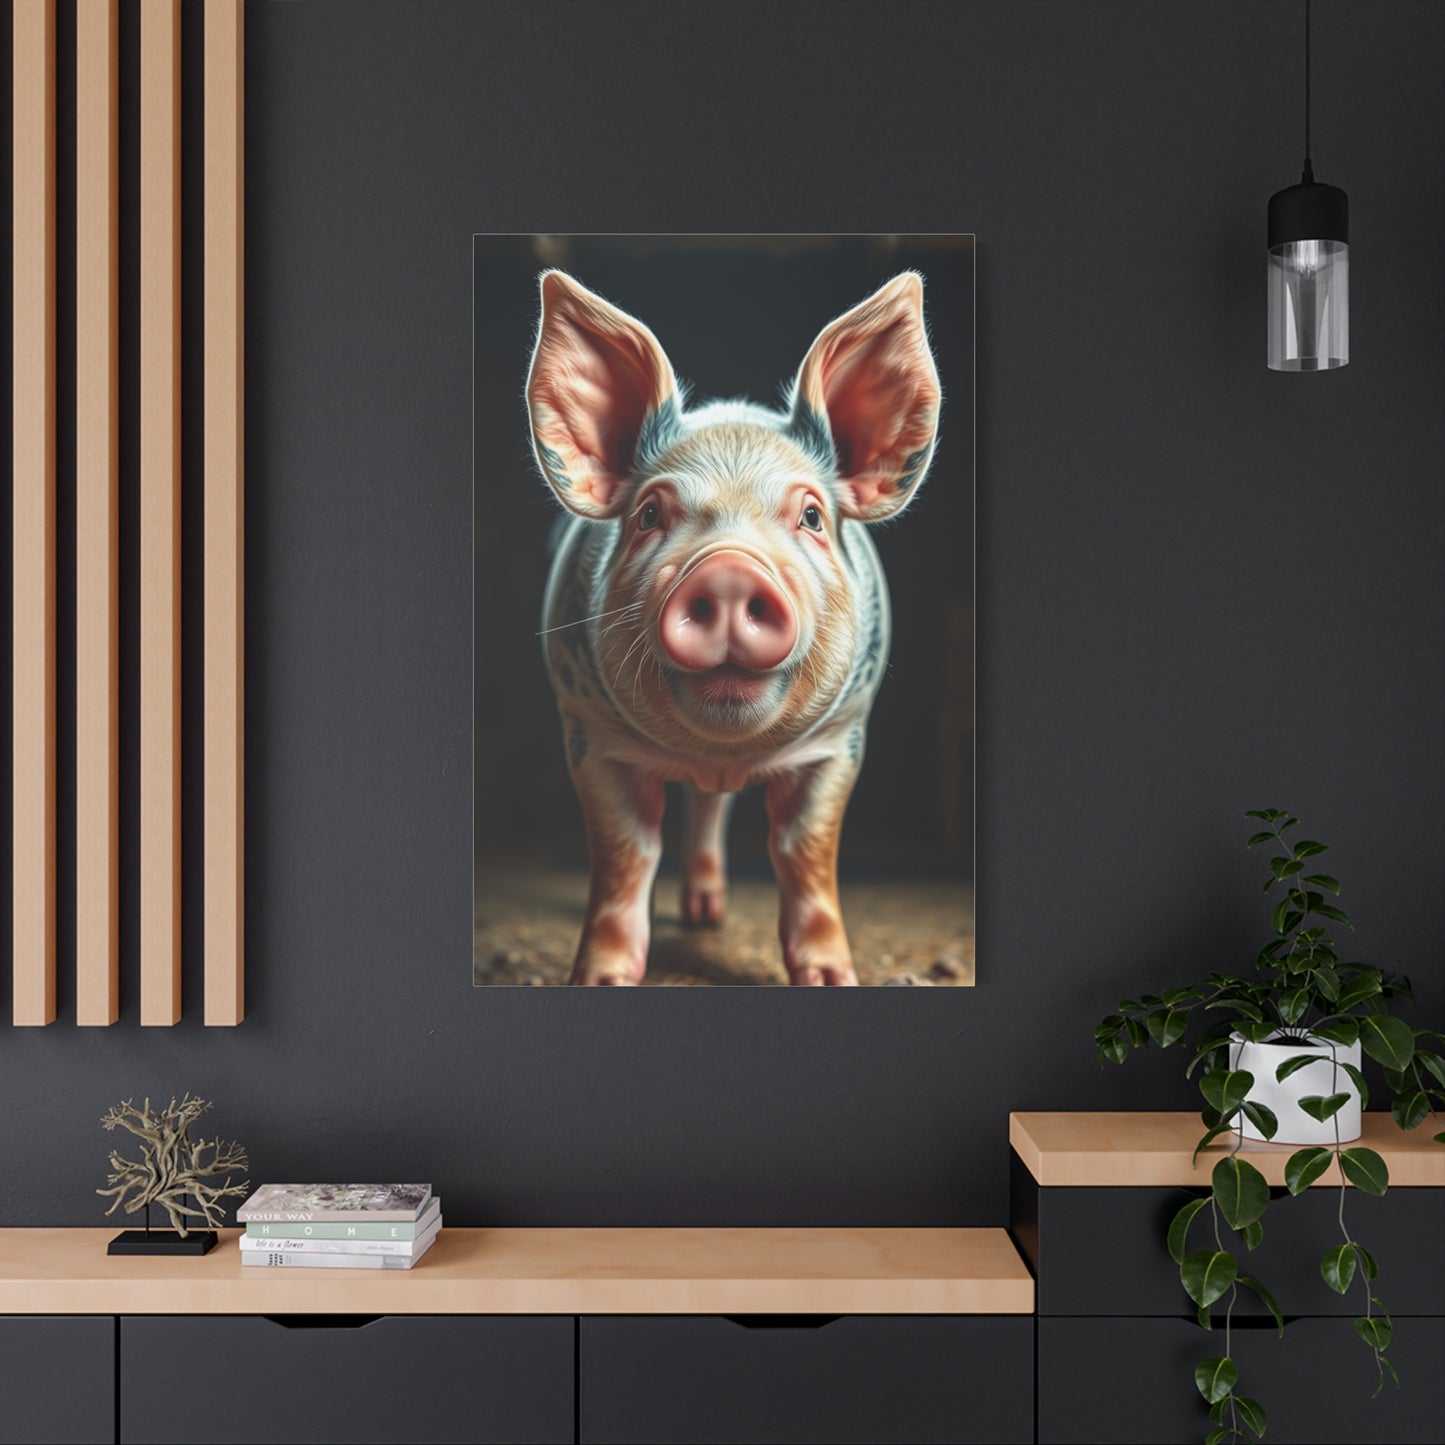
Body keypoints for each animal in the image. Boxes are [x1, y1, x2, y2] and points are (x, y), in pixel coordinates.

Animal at [528, 269, 941, 985]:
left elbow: (805, 853)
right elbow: (625, 856)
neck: (719, 755)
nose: (727, 570)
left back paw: (707, 917)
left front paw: (832, 979)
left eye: (811, 515)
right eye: (649, 515)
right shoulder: (588, 734)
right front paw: (600, 980)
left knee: (713, 809)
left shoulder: (842, 739)